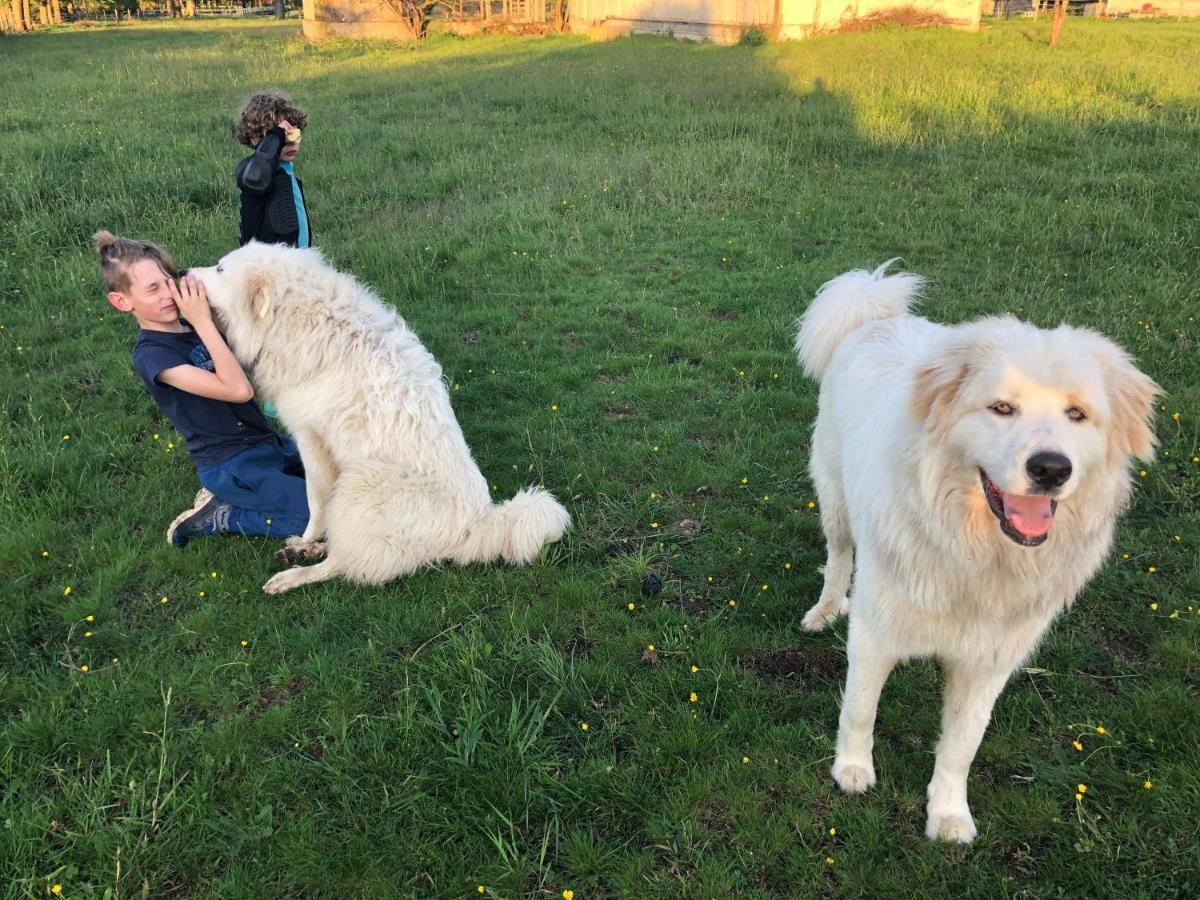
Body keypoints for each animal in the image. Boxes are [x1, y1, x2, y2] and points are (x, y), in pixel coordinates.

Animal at [190, 243, 571, 595]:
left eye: (220, 269)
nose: (184, 273)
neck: (299, 314)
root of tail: (476, 524)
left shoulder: (310, 438)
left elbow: (316, 500)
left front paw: (307, 537)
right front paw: (308, 541)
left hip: (360, 483)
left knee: (343, 563)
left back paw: (294, 572)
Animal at [792, 260, 1156, 844]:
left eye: (1077, 414)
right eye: (1001, 408)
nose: (1051, 469)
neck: (975, 551)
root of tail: (874, 313)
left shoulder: (989, 661)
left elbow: (961, 746)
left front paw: (948, 815)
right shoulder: (875, 632)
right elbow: (860, 709)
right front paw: (851, 770)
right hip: (835, 498)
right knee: (840, 555)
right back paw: (824, 609)